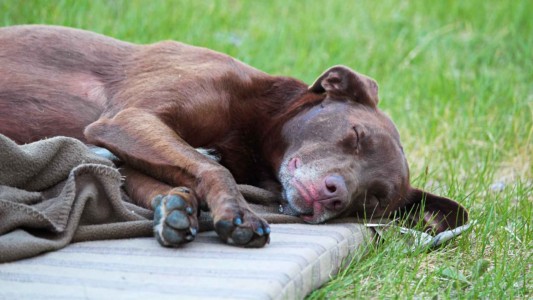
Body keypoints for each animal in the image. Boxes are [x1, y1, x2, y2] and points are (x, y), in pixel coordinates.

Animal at [0, 25, 466, 246]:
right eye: (355, 136)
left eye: (375, 200)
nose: (334, 194)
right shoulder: (128, 119)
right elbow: (210, 167)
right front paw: (237, 213)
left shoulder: (124, 138)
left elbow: (142, 175)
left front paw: (174, 208)